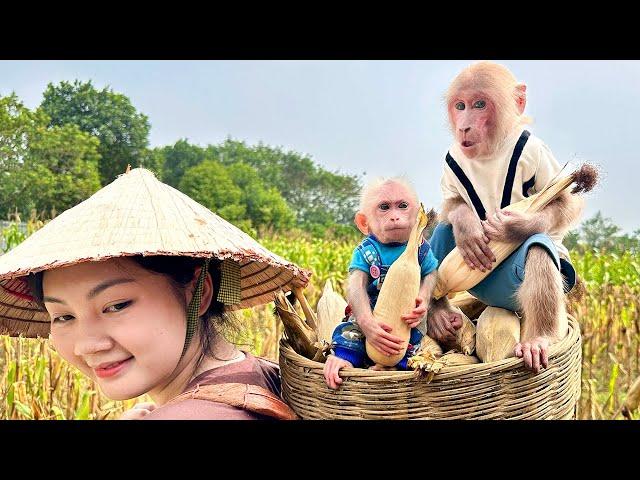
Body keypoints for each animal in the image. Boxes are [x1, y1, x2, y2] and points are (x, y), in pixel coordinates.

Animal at [428, 62, 584, 374]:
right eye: (460, 106)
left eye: (479, 105)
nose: (464, 125)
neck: (492, 152)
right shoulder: (452, 156)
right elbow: (453, 204)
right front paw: (467, 225)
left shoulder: (539, 155)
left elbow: (565, 202)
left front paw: (515, 226)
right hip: (480, 289)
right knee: (444, 228)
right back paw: (439, 312)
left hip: (509, 292)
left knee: (538, 250)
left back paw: (539, 339)